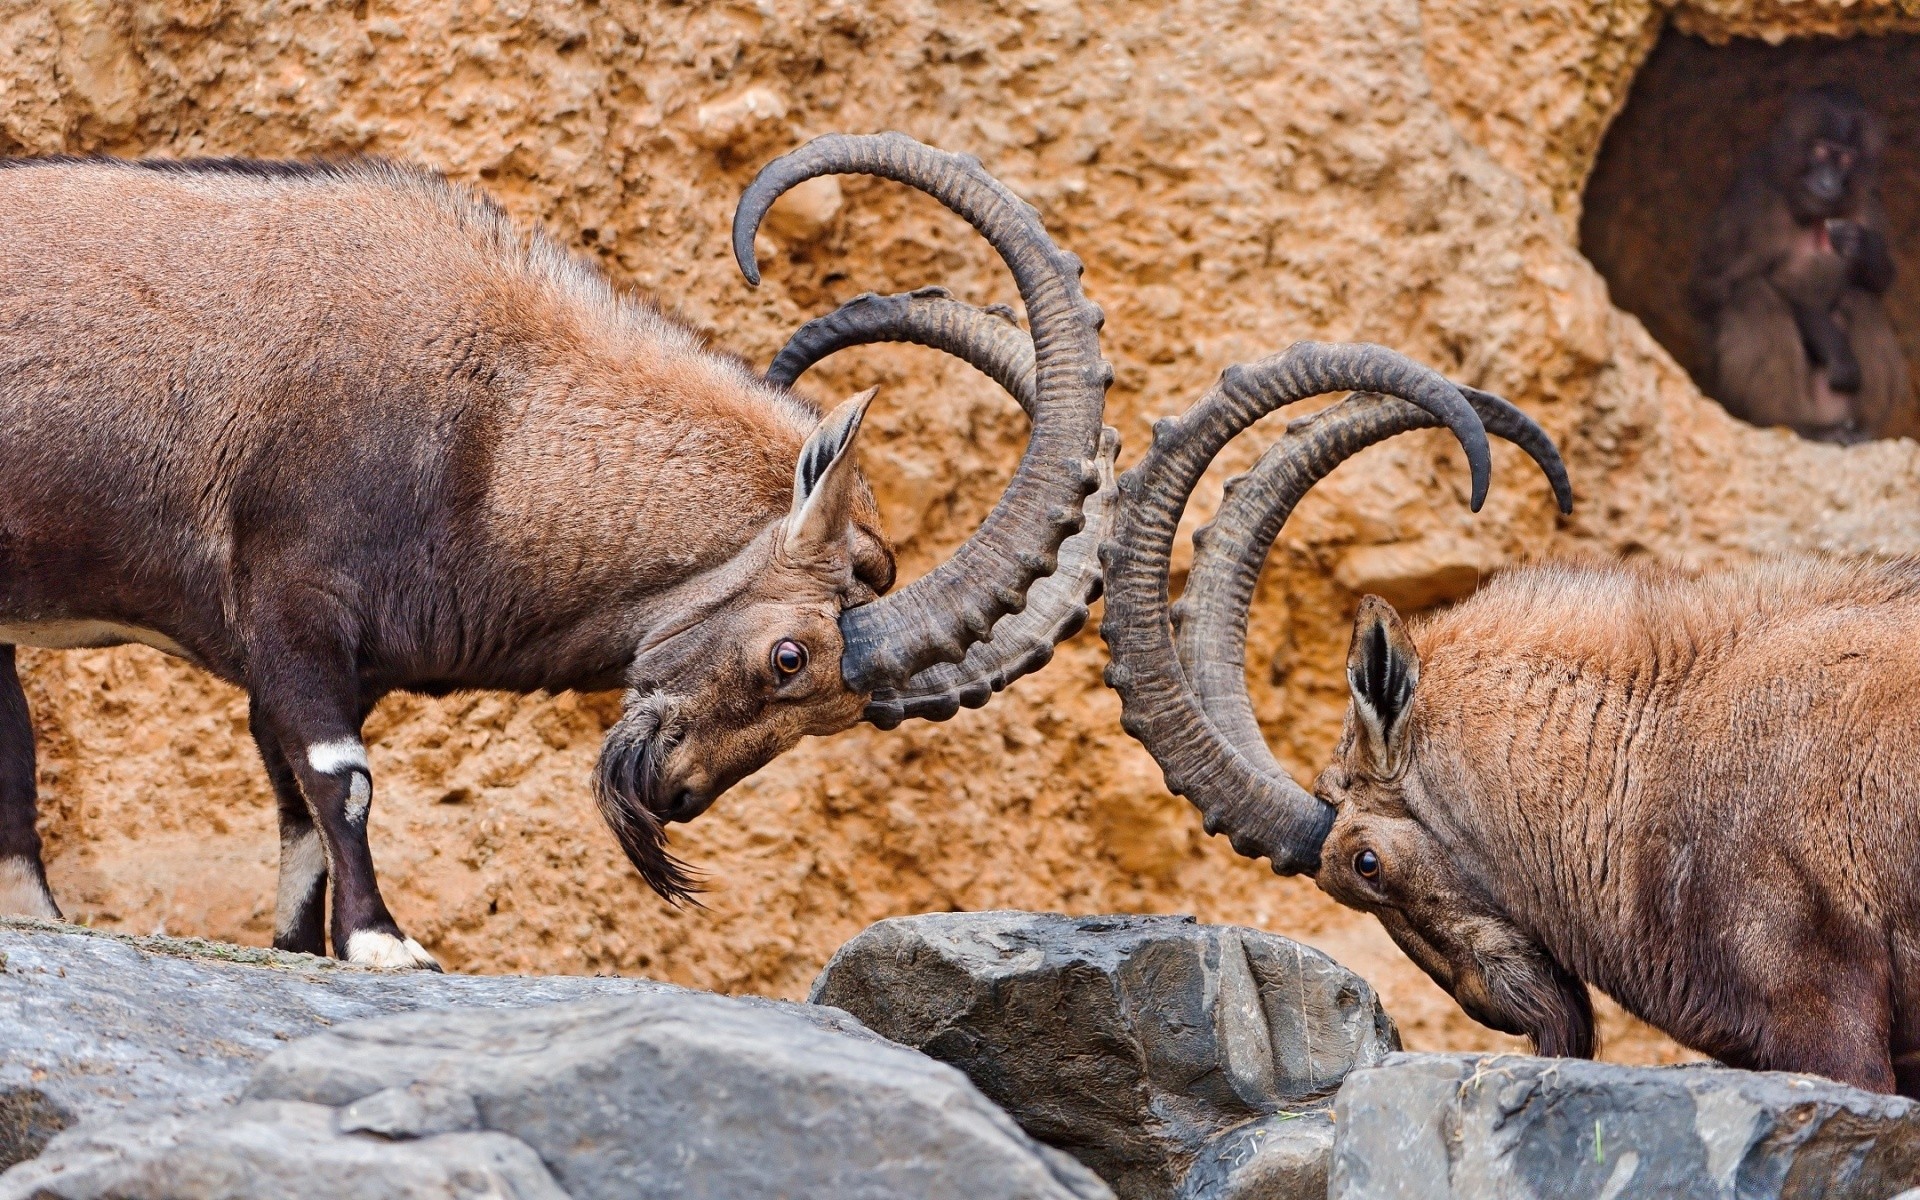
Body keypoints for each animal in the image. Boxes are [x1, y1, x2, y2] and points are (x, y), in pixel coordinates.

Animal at [1689, 84, 1912, 441]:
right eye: (1820, 150)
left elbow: (1878, 282)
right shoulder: (1754, 198)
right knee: (1753, 295)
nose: (1828, 183)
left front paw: (1864, 248)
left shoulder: (1867, 202)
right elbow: (1713, 288)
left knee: (1859, 298)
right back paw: (1794, 424)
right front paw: (1833, 346)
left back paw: (1861, 430)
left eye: (1845, 157)